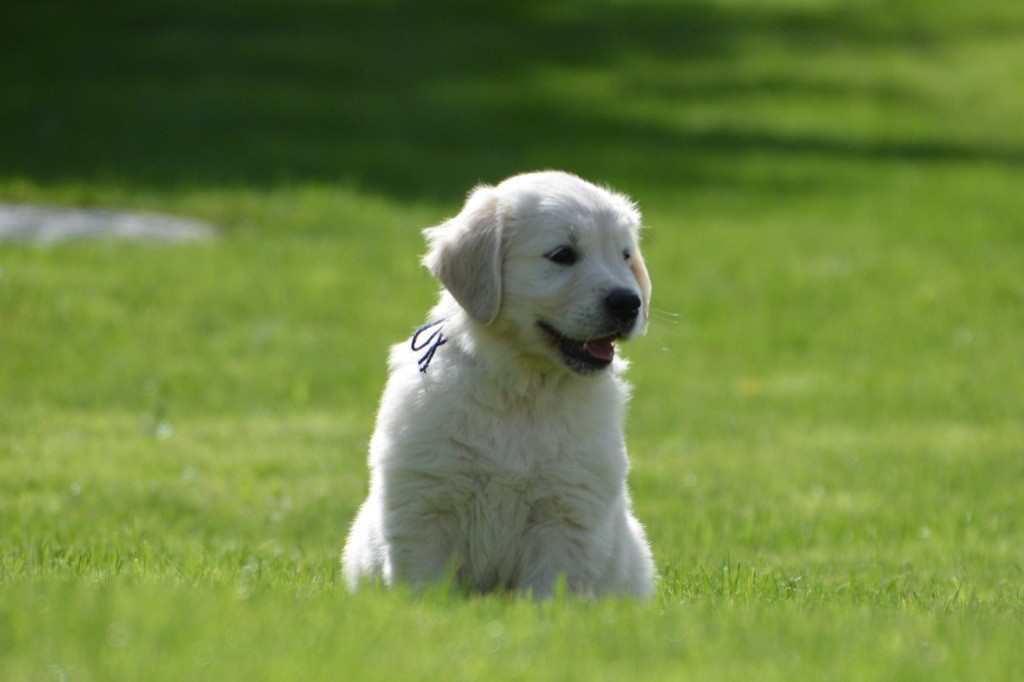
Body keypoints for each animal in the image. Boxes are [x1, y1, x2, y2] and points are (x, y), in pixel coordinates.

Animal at [342, 171, 656, 598]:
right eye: (562, 255)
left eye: (625, 255)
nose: (628, 303)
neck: (521, 390)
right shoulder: (425, 505)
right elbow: (423, 587)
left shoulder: (567, 514)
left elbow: (550, 594)